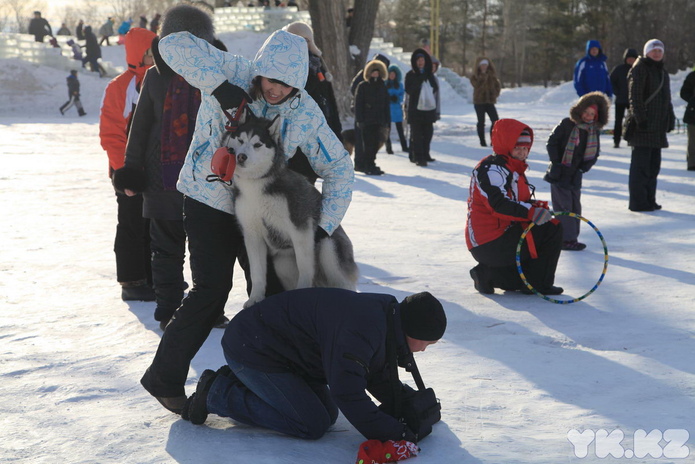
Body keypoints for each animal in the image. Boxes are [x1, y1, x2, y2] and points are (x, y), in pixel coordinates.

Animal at [224, 112, 358, 308]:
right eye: (240, 140)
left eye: (257, 144)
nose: (241, 156)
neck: (256, 186)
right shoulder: (252, 235)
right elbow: (257, 273)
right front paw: (255, 298)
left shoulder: (300, 229)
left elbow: (305, 268)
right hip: (283, 263)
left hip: (328, 248)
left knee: (343, 282)